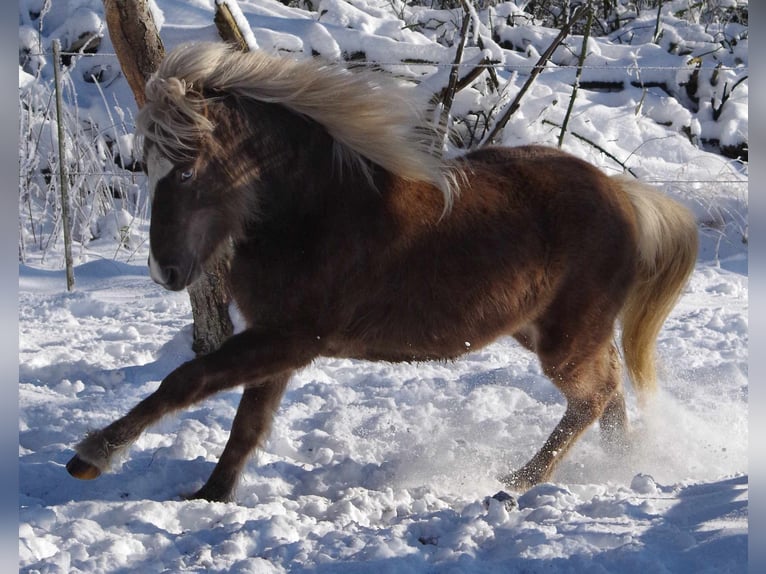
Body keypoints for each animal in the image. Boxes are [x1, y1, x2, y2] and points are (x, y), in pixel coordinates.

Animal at [67, 41, 704, 504]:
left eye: (187, 170)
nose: (166, 271)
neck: (316, 209)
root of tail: (623, 196)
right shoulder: (278, 340)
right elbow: (247, 424)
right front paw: (211, 495)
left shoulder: (289, 338)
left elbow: (186, 381)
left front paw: (93, 455)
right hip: (544, 331)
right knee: (610, 391)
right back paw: (621, 464)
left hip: (566, 342)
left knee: (592, 398)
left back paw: (518, 482)